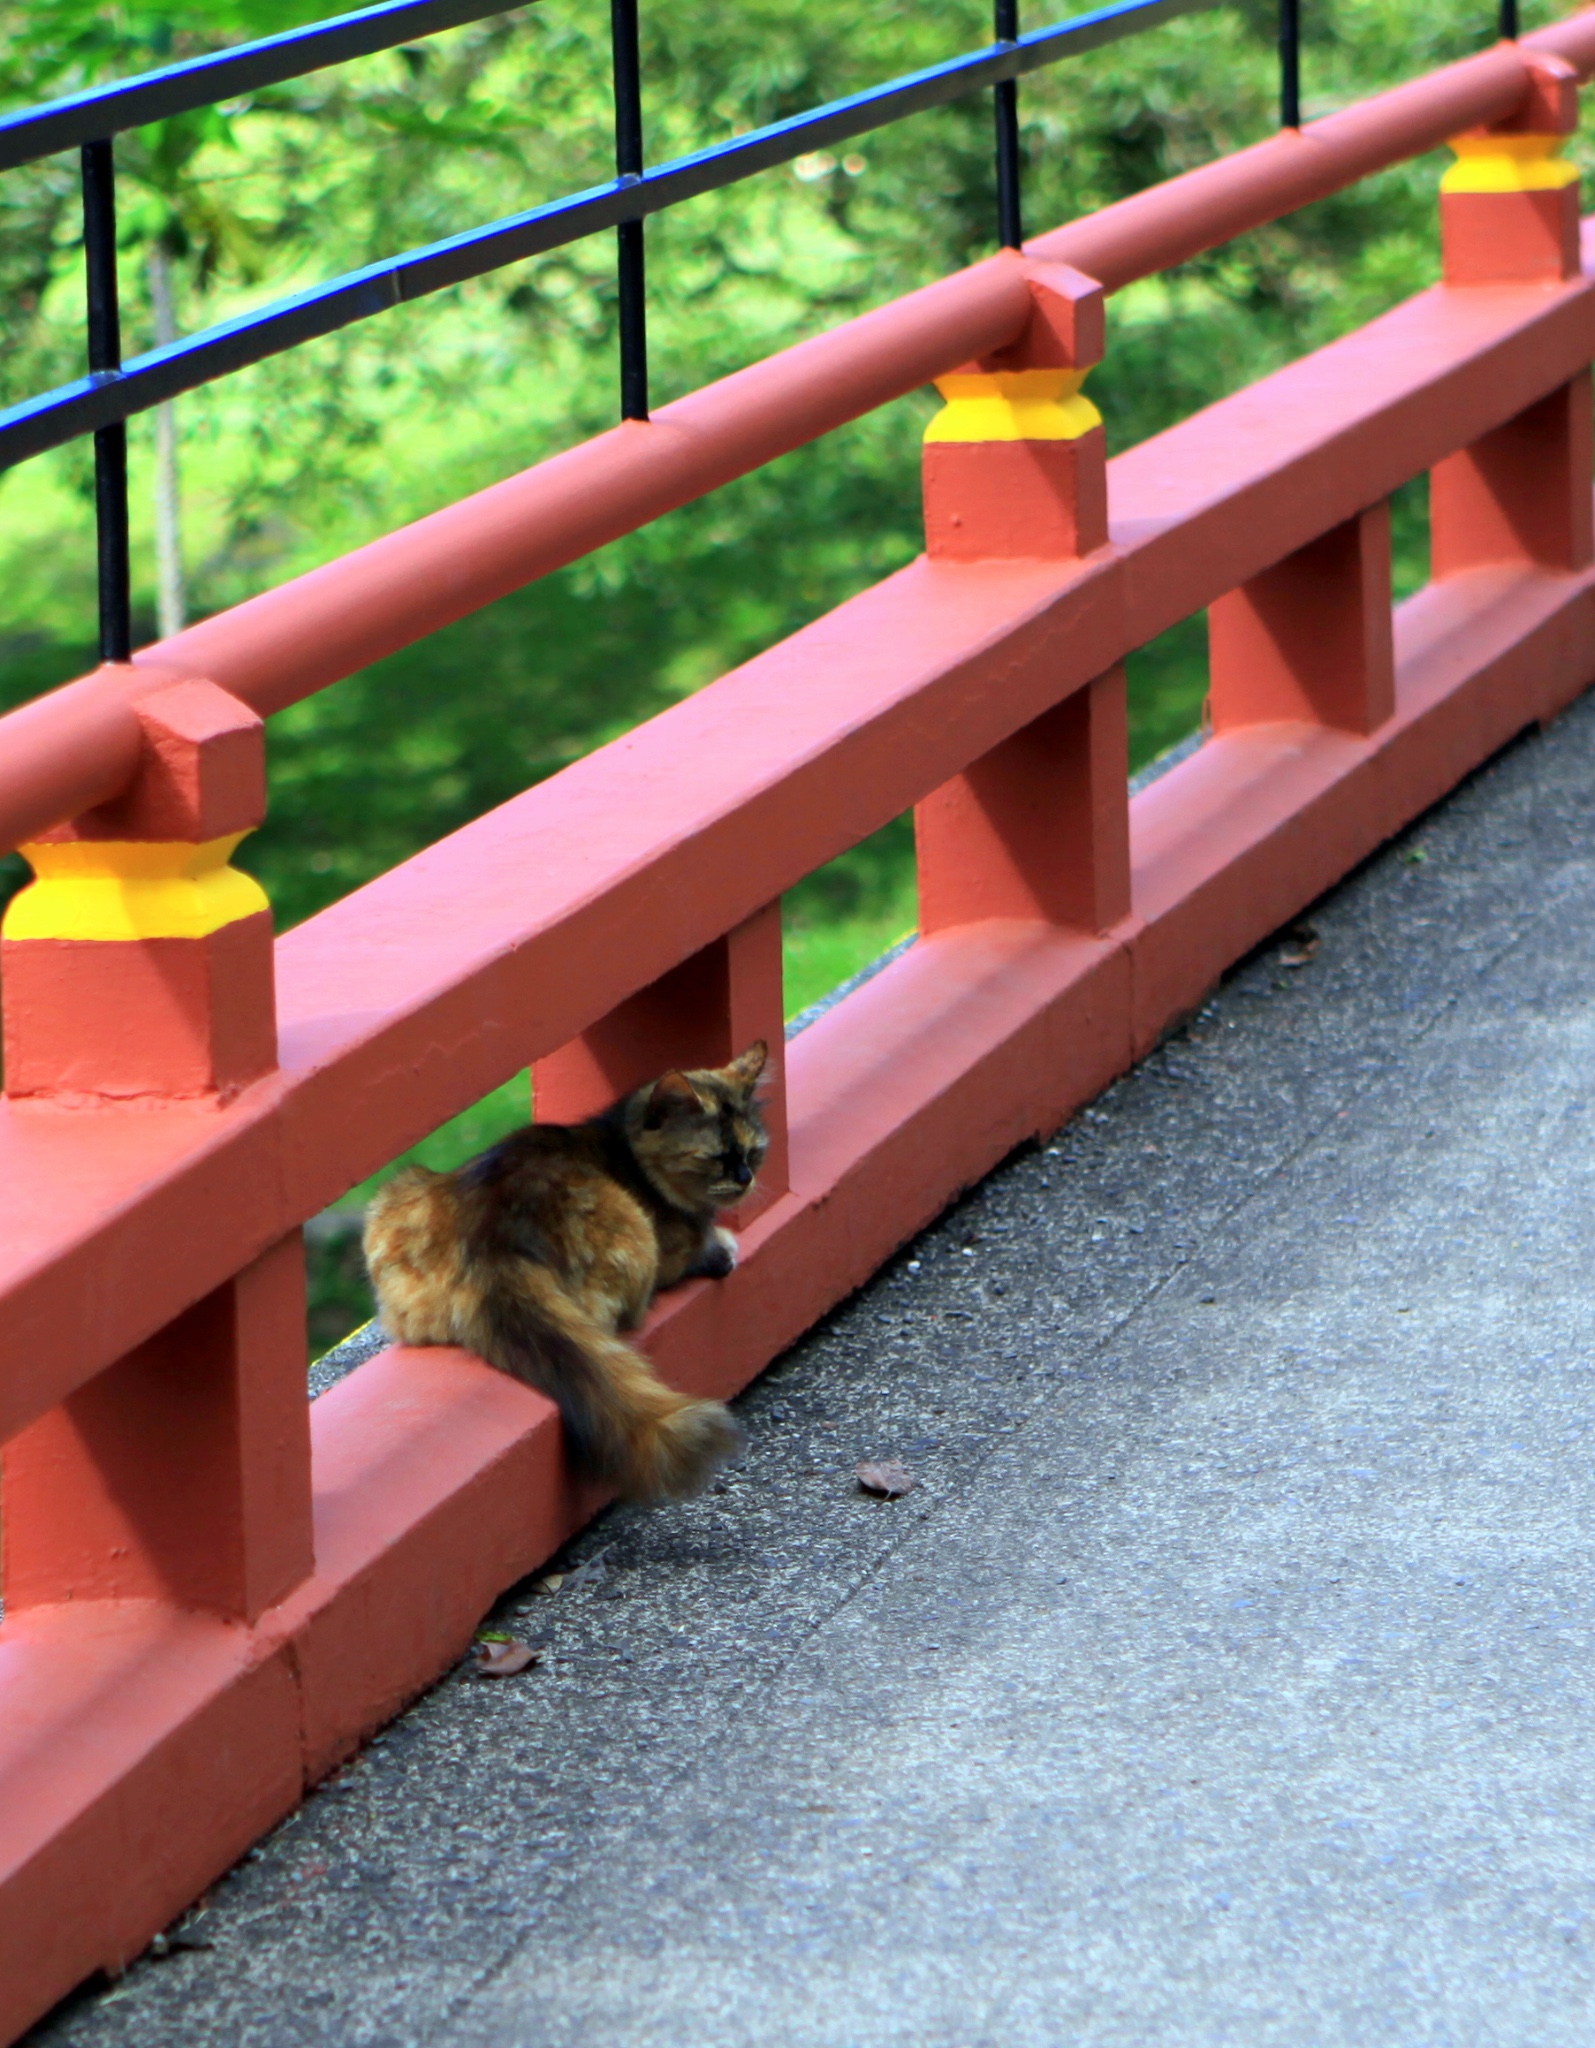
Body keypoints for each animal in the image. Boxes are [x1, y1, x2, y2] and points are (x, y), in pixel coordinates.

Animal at [364, 1048, 765, 1499]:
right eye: (713, 1158)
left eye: (753, 1152)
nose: (746, 1179)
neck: (626, 1147)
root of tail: (491, 1239)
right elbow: (706, 1245)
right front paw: (722, 1246)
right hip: (635, 1234)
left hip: (396, 1192)